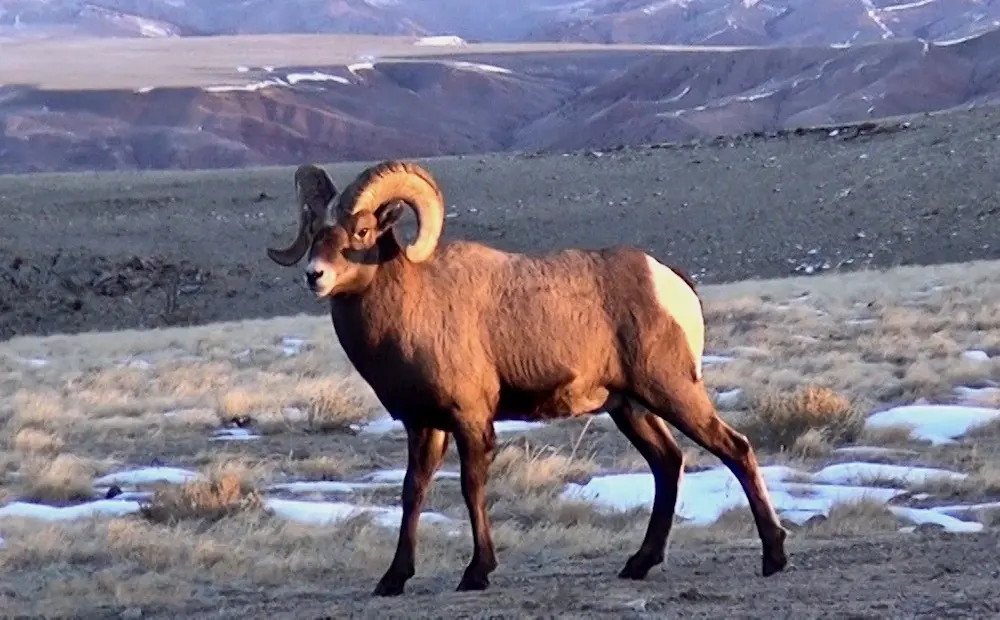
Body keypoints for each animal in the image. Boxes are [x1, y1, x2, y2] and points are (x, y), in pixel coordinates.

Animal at [265, 159, 789, 597]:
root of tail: (669, 281)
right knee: (668, 464)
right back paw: (639, 564)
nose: (315, 275)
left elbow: (470, 488)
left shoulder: (471, 421)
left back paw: (774, 557)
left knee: (734, 449)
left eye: (363, 229)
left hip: (673, 393)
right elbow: (413, 493)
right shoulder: (424, 426)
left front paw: (476, 573)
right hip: (631, 409)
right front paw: (393, 580)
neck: (414, 304)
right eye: (314, 231)